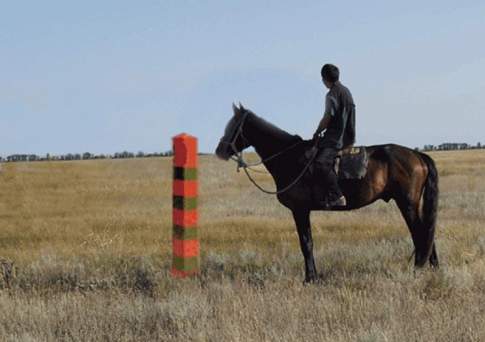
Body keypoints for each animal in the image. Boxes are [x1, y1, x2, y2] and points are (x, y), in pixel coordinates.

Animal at [216, 103, 438, 284]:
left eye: (232, 126)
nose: (219, 150)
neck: (290, 157)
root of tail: (417, 155)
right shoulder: (302, 210)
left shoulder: (300, 210)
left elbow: (306, 243)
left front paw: (310, 278)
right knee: (426, 231)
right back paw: (432, 267)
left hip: (407, 203)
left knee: (420, 232)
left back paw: (419, 268)